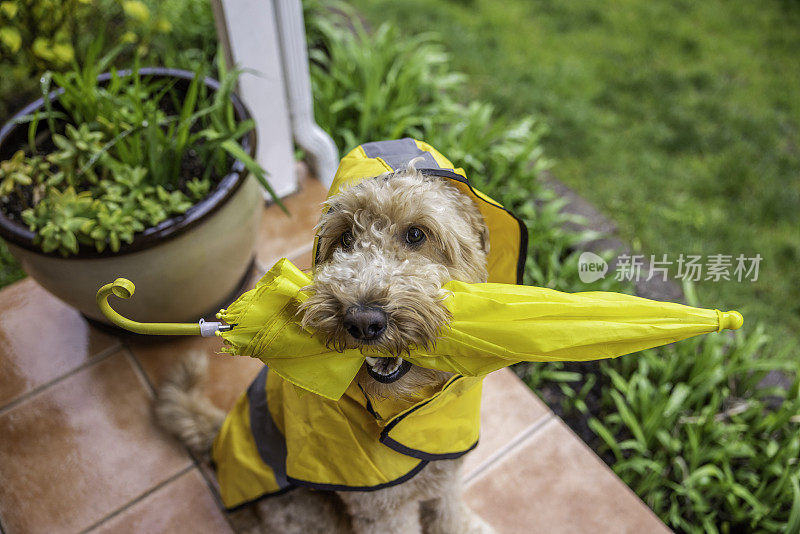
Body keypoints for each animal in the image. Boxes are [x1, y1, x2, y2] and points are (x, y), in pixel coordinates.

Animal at [156, 153, 500, 532]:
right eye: (346, 237)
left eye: (415, 234)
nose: (362, 321)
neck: (402, 409)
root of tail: (220, 435)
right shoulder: (381, 507)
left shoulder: (446, 474)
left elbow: (449, 516)